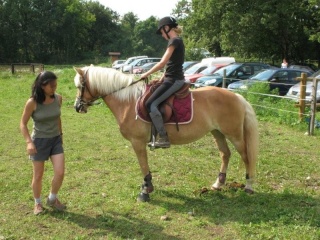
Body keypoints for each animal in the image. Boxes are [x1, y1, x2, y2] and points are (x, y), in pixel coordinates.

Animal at [73, 64, 260, 202]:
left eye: (80, 86)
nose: (77, 107)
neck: (128, 101)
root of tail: (237, 97)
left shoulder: (137, 142)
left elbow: (143, 166)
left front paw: (146, 190)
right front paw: (147, 188)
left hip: (234, 135)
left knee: (246, 156)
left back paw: (249, 186)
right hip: (217, 132)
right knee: (225, 154)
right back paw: (218, 184)